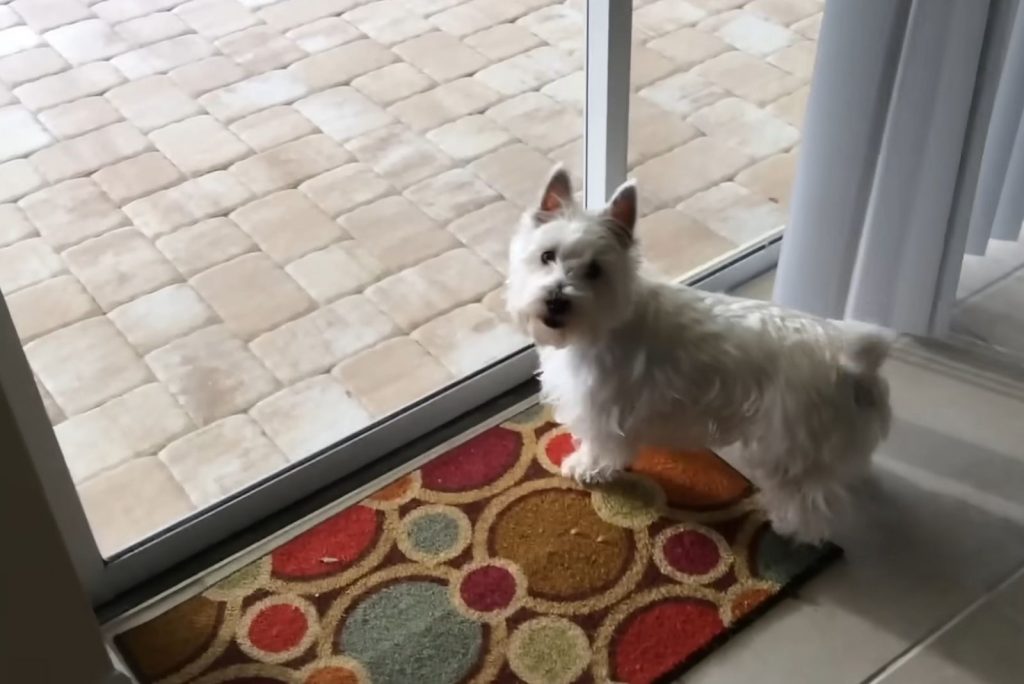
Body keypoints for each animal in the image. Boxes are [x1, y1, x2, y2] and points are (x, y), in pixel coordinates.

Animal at [507, 167, 892, 540]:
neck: (599, 327)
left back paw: (787, 528)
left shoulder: (602, 407)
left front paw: (583, 468)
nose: (556, 301)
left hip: (790, 444)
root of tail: (850, 360)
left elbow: (599, 444)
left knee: (810, 501)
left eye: (594, 270)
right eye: (547, 256)